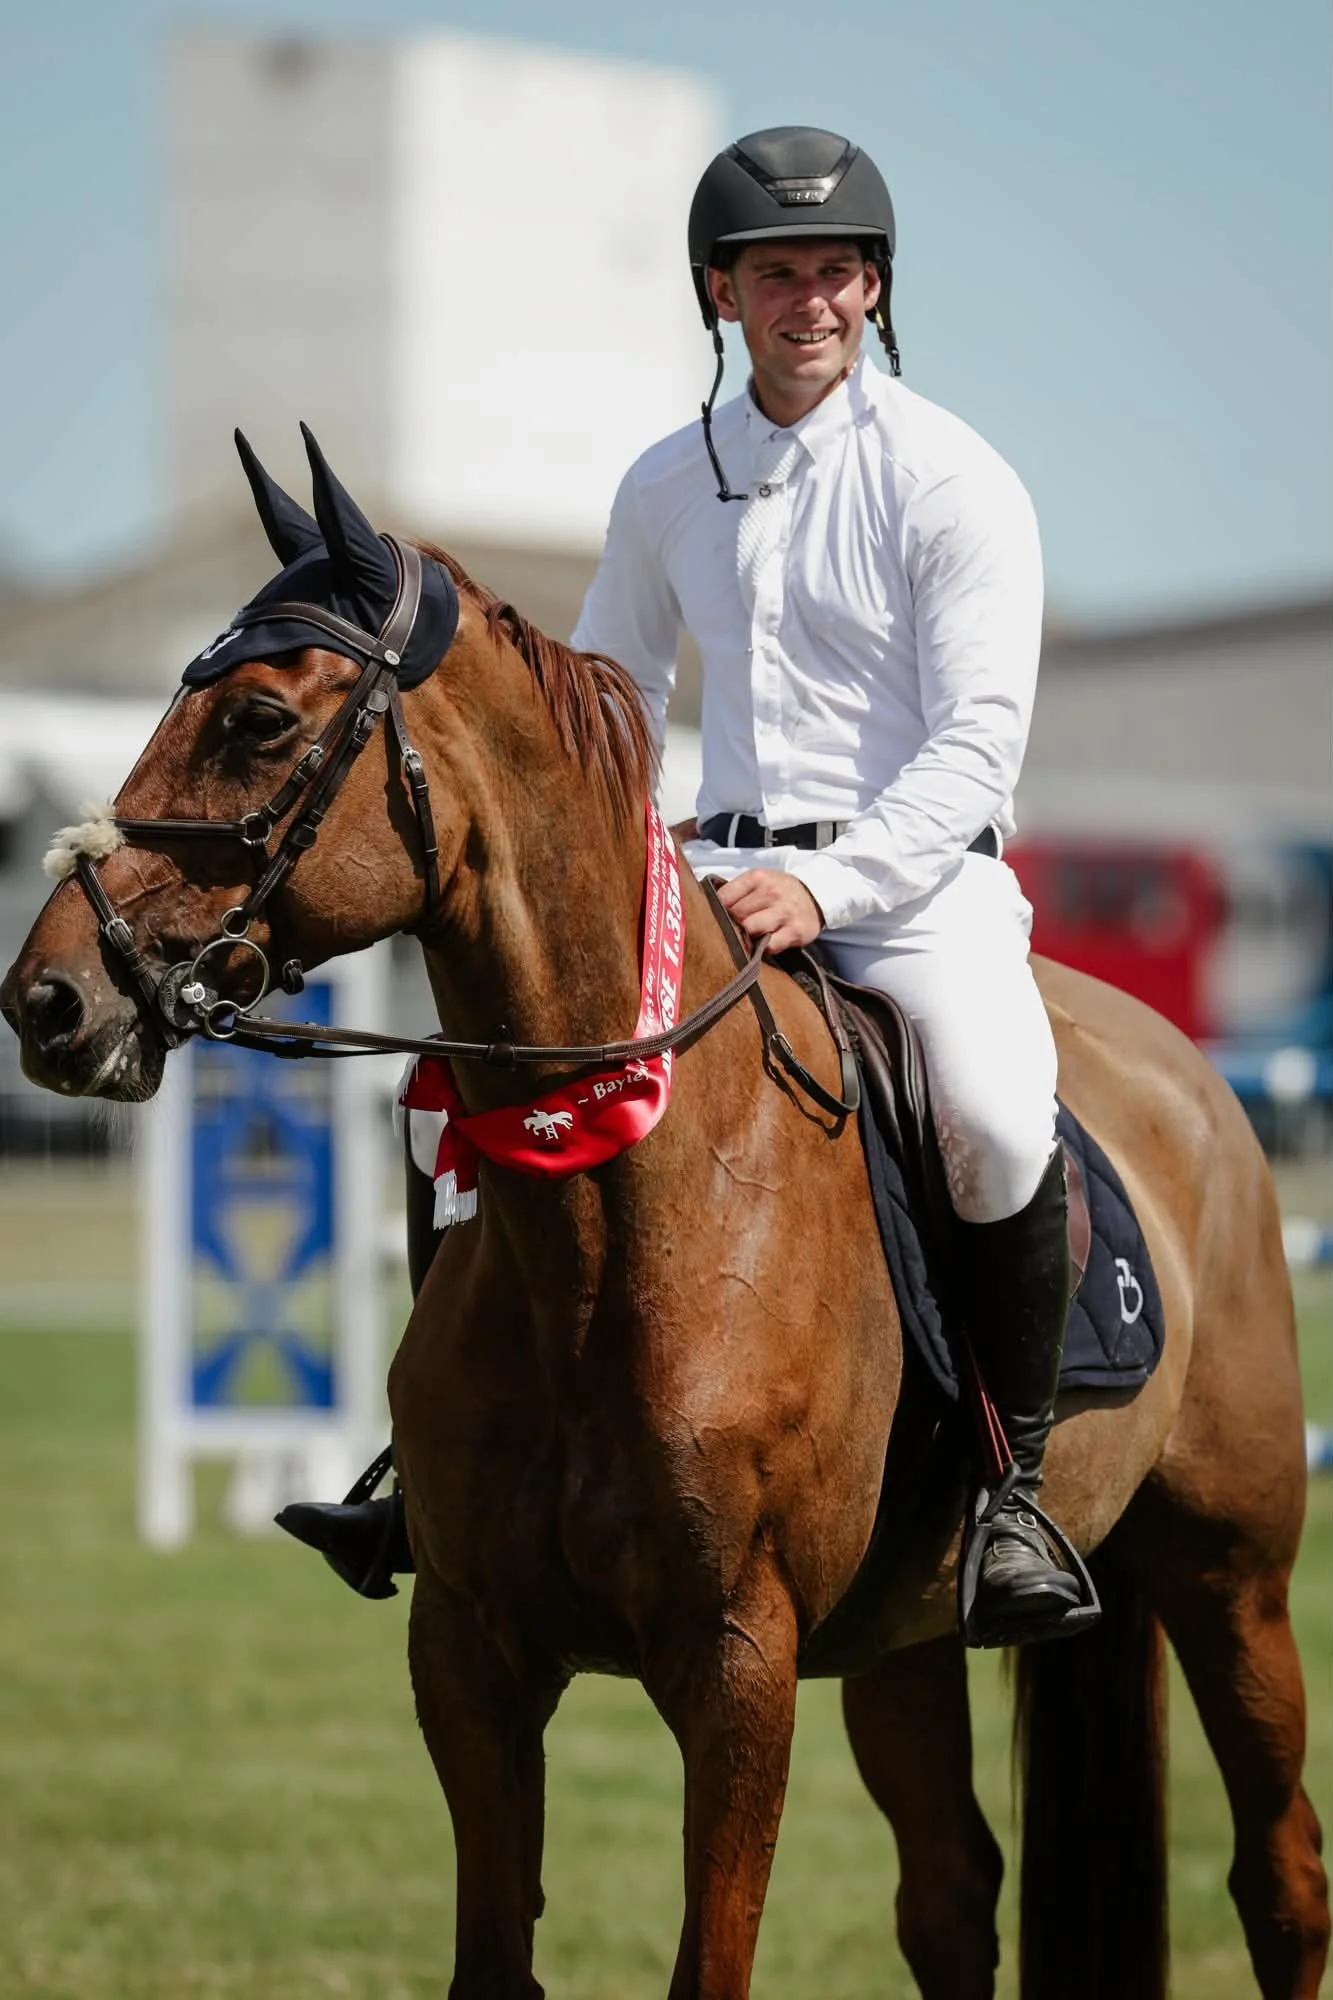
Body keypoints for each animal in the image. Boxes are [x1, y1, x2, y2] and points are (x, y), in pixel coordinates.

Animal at [2, 434, 1326, 2000]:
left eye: (262, 719)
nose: (48, 999)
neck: (623, 1217)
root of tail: (1192, 1081)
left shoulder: (737, 1664)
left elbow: (711, 1961)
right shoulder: (469, 1657)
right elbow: (491, 1961)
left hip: (1229, 1581)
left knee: (1280, 1876)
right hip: (903, 1640)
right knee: (950, 1893)